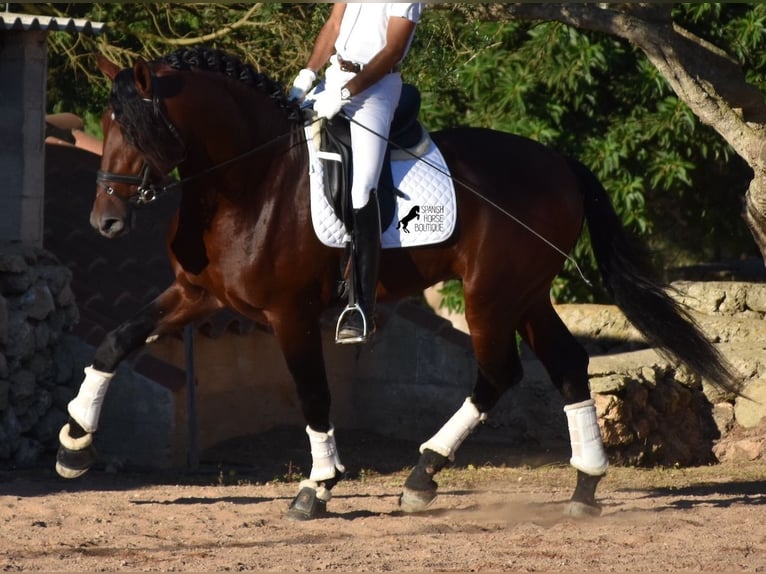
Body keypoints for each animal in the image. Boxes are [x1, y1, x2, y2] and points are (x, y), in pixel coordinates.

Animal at [54, 46, 736, 520]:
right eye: (106, 126)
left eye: (141, 131)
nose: (105, 221)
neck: (250, 182)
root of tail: (557, 162)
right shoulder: (199, 296)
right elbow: (115, 341)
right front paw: (74, 444)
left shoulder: (289, 313)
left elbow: (313, 393)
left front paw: (317, 486)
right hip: (526, 294)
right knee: (566, 363)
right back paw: (584, 486)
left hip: (491, 295)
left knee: (499, 373)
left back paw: (424, 474)